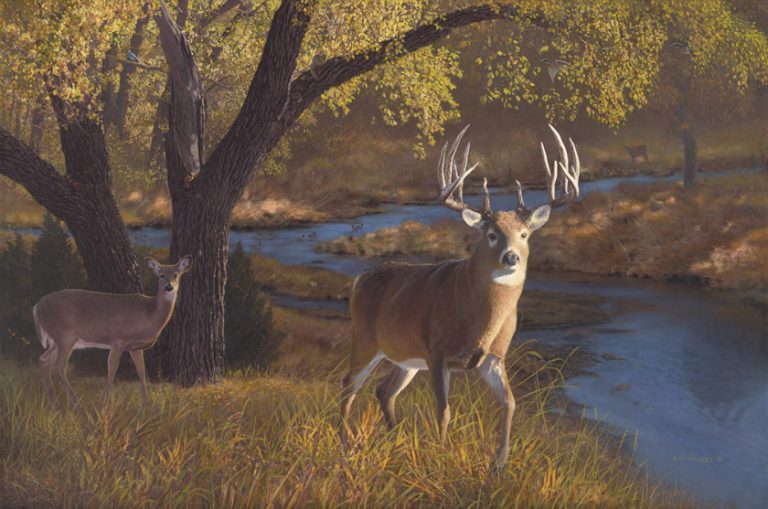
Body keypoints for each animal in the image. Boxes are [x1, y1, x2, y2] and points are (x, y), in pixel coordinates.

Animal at [33, 255, 192, 409]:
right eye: (161, 275)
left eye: (176, 274)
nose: (169, 287)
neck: (149, 313)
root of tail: (37, 306)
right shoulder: (118, 340)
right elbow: (112, 370)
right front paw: (103, 405)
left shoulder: (135, 347)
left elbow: (141, 372)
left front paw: (148, 406)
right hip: (65, 335)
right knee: (58, 367)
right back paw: (77, 405)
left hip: (58, 340)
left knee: (43, 361)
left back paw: (55, 405)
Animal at [341, 125, 581, 470]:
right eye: (491, 234)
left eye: (524, 234)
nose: (511, 257)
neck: (479, 321)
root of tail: (360, 279)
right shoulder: (438, 352)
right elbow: (444, 410)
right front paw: (441, 456)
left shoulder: (494, 357)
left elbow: (510, 403)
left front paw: (499, 463)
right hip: (365, 339)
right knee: (349, 385)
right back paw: (345, 444)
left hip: (407, 358)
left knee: (383, 390)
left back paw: (393, 437)